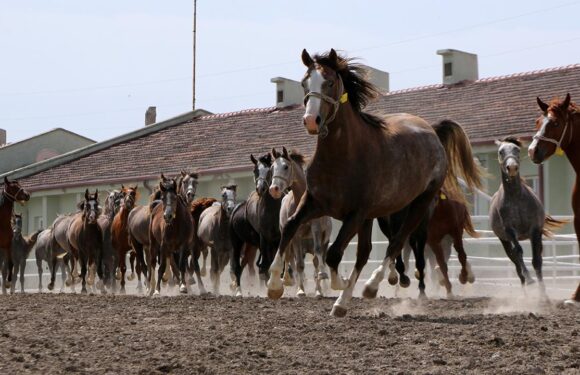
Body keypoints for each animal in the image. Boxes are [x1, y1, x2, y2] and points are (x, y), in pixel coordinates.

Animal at [229, 153, 280, 296]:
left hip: (250, 247)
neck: (272, 209)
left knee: (243, 265)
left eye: (269, 170)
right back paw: (239, 291)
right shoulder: (265, 239)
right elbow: (267, 264)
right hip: (237, 242)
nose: (261, 188)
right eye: (255, 170)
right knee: (237, 266)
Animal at [268, 148, 330, 298]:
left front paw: (322, 276)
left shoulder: (315, 228)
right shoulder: (295, 234)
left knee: (316, 260)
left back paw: (319, 289)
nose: (274, 189)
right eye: (272, 167)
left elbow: (317, 254)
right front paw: (301, 291)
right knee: (290, 258)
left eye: (286, 166)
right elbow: (299, 264)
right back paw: (289, 281)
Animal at [488, 139, 564, 294]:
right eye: (500, 151)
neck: (516, 198)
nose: (512, 167)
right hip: (504, 241)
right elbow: (518, 252)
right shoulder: (510, 232)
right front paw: (530, 280)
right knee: (517, 266)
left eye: (516, 149)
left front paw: (543, 294)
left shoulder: (534, 230)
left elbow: (537, 261)